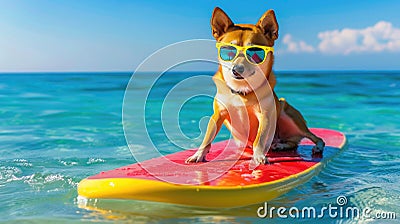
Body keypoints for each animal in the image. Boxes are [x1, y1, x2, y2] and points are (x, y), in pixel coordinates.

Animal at [185, 7, 324, 164]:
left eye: (254, 52)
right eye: (228, 51)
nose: (237, 69)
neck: (241, 90)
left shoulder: (265, 116)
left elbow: (260, 138)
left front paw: (258, 156)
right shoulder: (218, 115)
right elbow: (207, 137)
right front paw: (198, 154)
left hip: (288, 114)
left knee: (314, 137)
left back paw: (315, 146)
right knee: (293, 143)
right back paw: (280, 145)